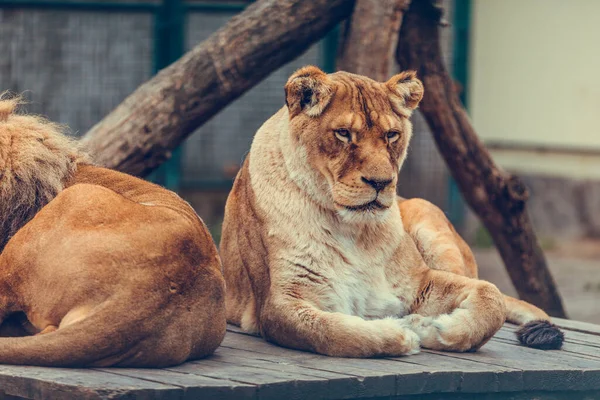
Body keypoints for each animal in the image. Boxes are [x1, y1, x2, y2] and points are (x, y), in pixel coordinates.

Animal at [220, 66, 564, 356]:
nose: (381, 182)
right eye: (343, 133)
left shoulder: (420, 282)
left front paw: (434, 328)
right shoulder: (279, 304)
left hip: (430, 220)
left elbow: (491, 298)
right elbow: (333, 332)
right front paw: (402, 332)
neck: (352, 230)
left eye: (391, 135)